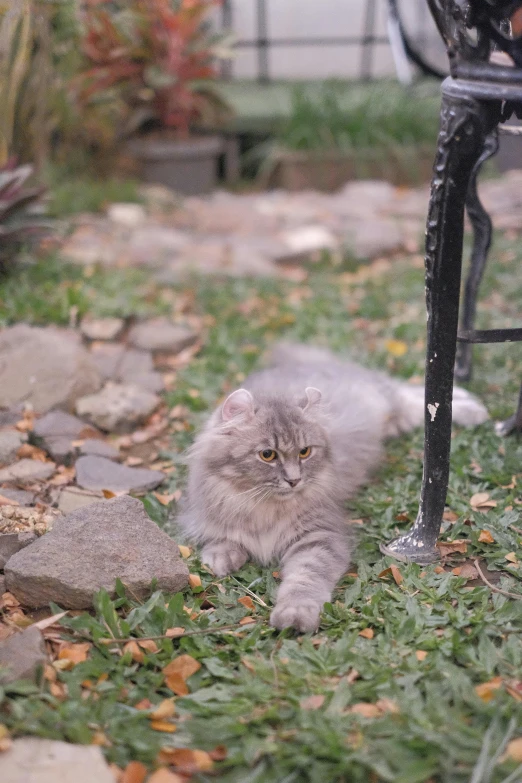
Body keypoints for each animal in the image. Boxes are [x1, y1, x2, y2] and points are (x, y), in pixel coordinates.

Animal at [178, 346, 484, 632]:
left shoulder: (319, 537)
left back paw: (473, 407)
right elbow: (223, 539)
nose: (294, 480)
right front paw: (222, 559)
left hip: (388, 400)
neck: (264, 508)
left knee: (422, 397)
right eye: (267, 455)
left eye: (304, 452)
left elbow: (303, 581)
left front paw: (294, 615)